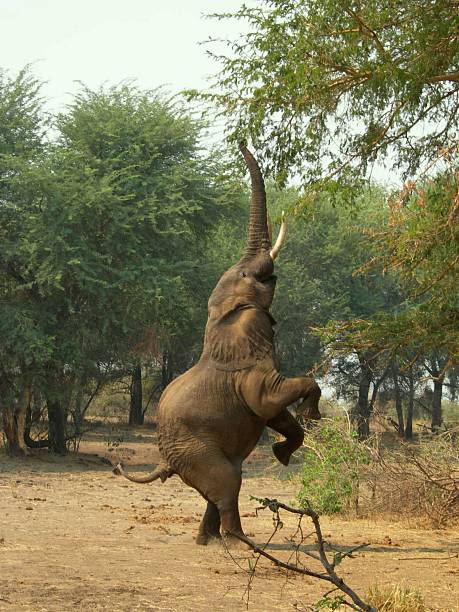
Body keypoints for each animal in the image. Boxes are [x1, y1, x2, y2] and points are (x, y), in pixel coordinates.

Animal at [117, 143, 322, 544]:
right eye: (246, 274)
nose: (241, 140)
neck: (221, 314)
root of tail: (164, 459)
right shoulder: (249, 365)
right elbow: (269, 399)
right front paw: (310, 417)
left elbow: (273, 413)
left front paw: (283, 451)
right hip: (196, 450)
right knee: (227, 484)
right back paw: (239, 542)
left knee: (223, 485)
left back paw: (208, 540)